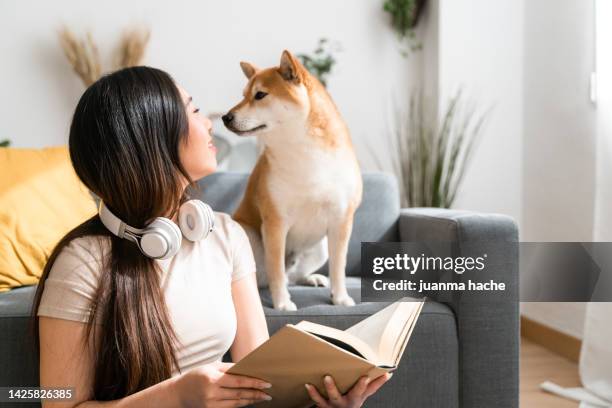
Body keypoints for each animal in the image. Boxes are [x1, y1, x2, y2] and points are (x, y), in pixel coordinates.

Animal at [222, 51, 360, 312]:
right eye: (243, 95)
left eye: (260, 95)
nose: (226, 117)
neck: (305, 155)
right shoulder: (276, 221)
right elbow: (275, 271)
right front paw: (282, 303)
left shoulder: (341, 221)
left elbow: (339, 267)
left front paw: (340, 298)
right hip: (248, 234)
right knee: (270, 275)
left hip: (320, 248)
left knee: (292, 275)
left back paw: (312, 278)